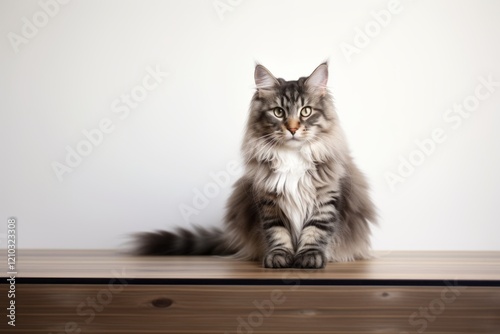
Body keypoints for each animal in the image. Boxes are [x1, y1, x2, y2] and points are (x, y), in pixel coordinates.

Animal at [133, 61, 376, 268]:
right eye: (278, 112)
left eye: (306, 111)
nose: (293, 128)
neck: (292, 157)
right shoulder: (269, 200)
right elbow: (277, 232)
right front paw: (279, 256)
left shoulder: (325, 197)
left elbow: (316, 230)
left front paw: (309, 257)